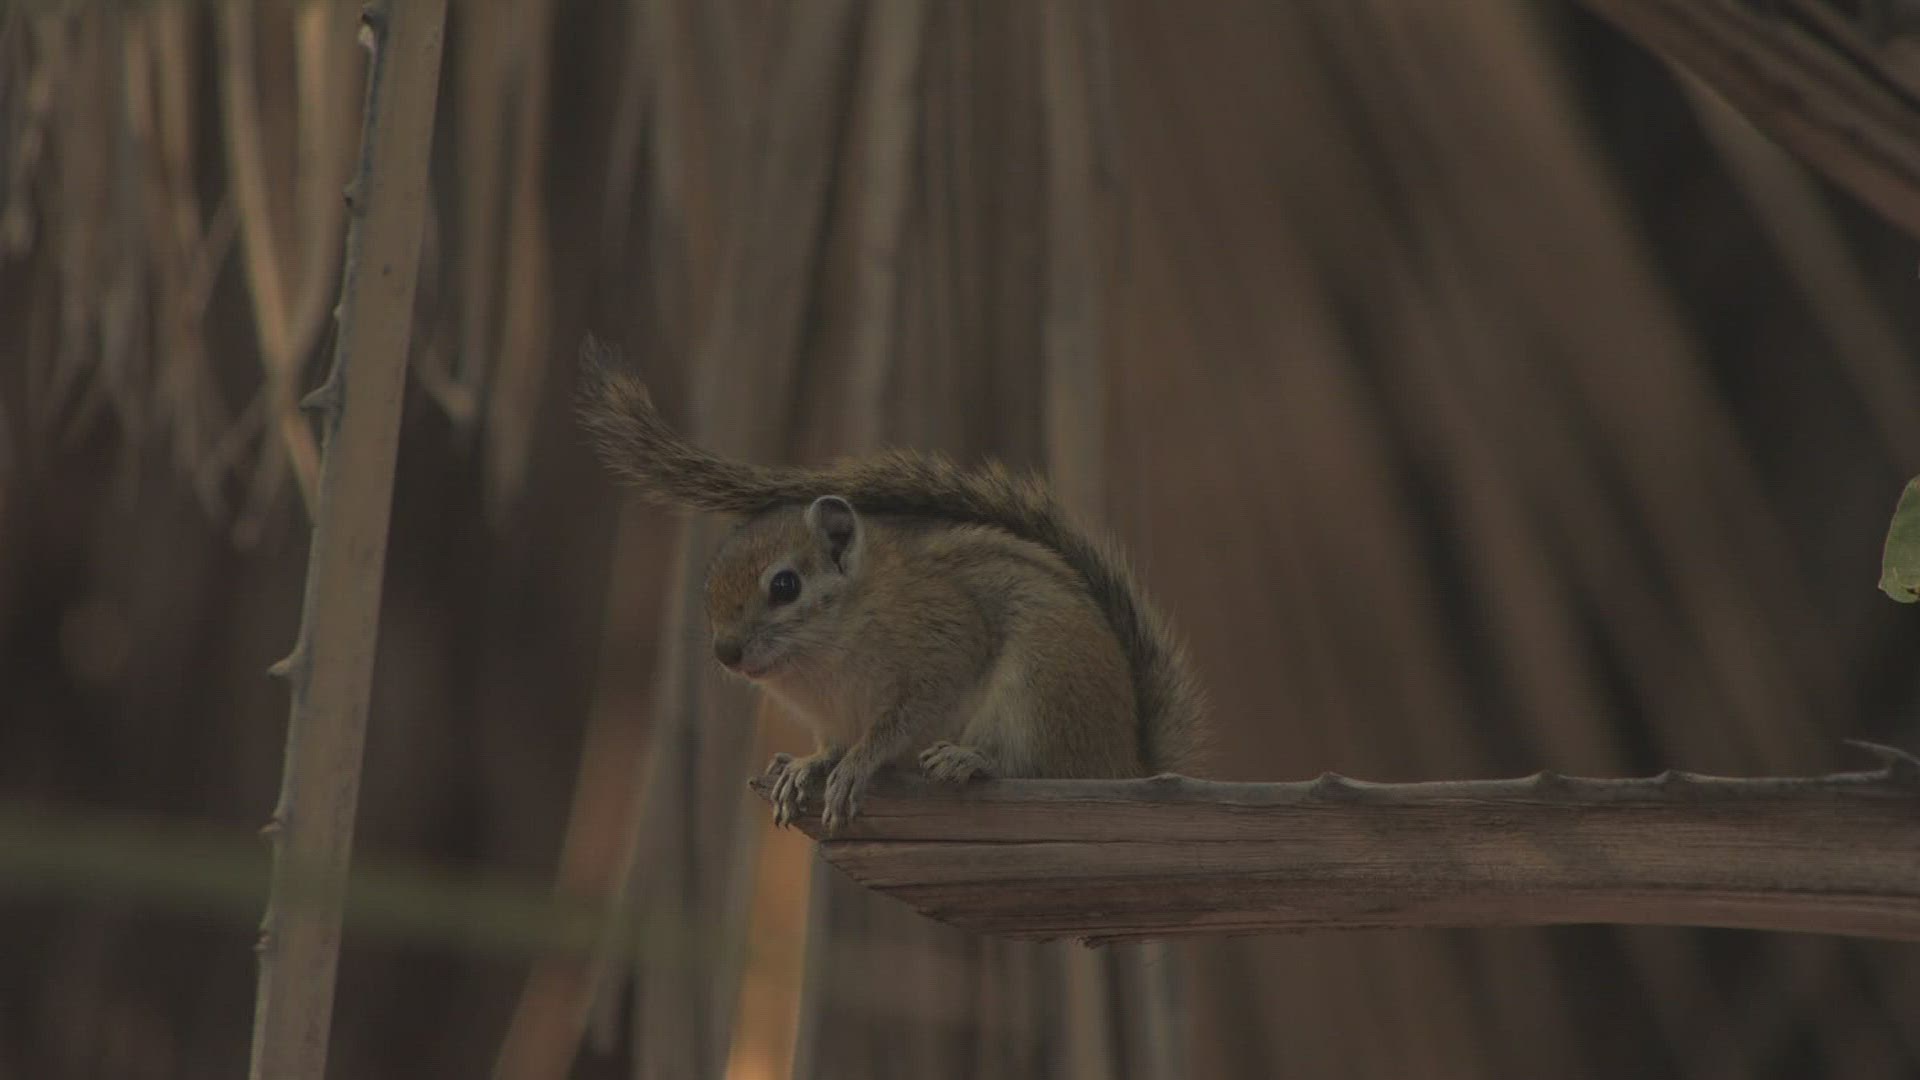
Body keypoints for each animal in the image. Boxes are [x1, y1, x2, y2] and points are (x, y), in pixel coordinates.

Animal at [576, 338, 1205, 833]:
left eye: (785, 585)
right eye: (708, 586)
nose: (726, 653)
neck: (825, 656)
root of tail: (1125, 762)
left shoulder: (940, 645)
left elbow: (899, 722)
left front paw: (855, 766)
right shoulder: (830, 716)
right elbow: (829, 745)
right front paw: (806, 767)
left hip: (1041, 694)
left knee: (1040, 770)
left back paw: (971, 761)